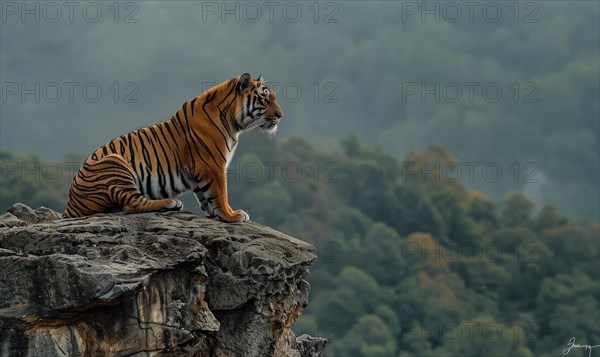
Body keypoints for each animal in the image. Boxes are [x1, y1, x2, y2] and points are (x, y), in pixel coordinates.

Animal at [63, 73, 284, 221]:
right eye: (265, 99)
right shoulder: (212, 165)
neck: (233, 122)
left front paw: (214, 213)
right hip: (114, 161)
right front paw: (231, 215)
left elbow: (206, 195)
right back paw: (171, 202)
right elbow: (220, 193)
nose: (281, 115)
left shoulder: (200, 171)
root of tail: (70, 205)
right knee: (132, 204)